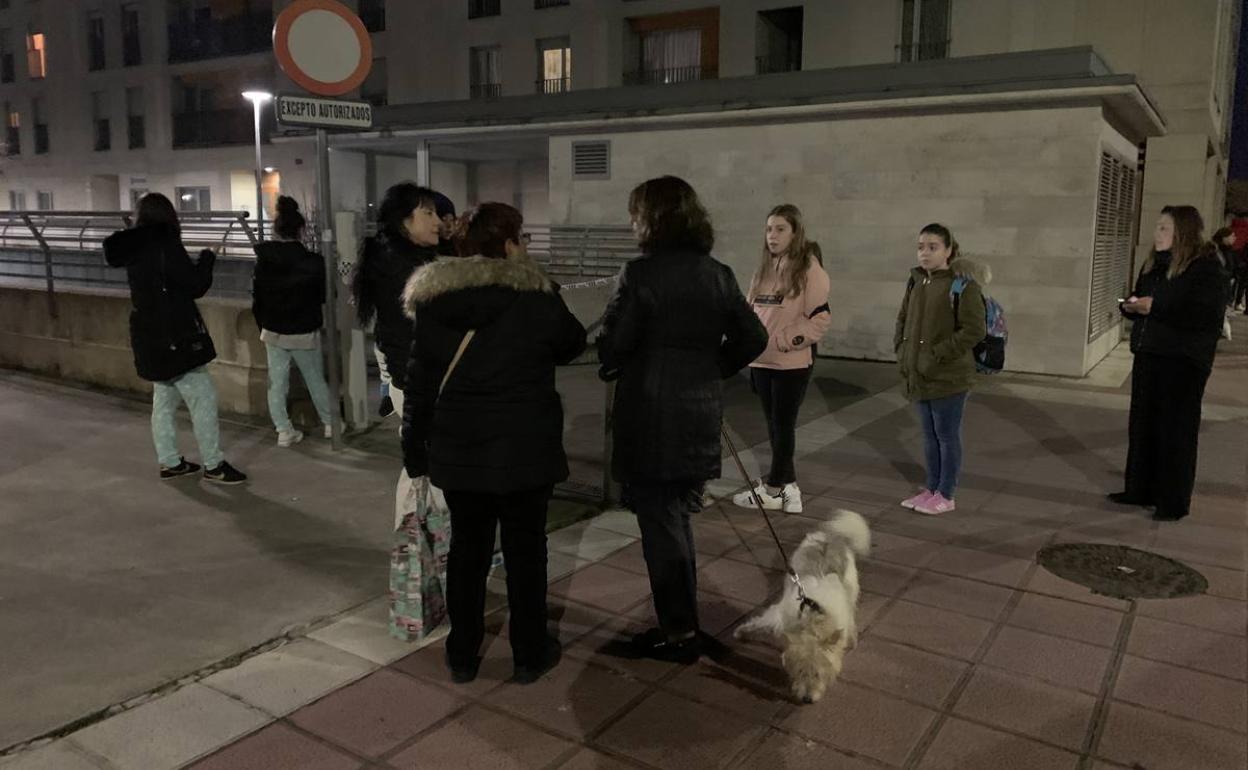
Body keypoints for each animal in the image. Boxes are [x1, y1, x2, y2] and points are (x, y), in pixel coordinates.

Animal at [733, 511, 873, 703]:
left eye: (819, 675)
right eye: (799, 671)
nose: (807, 699)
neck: (812, 620)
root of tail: (832, 535)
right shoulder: (779, 616)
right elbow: (759, 623)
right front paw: (741, 632)